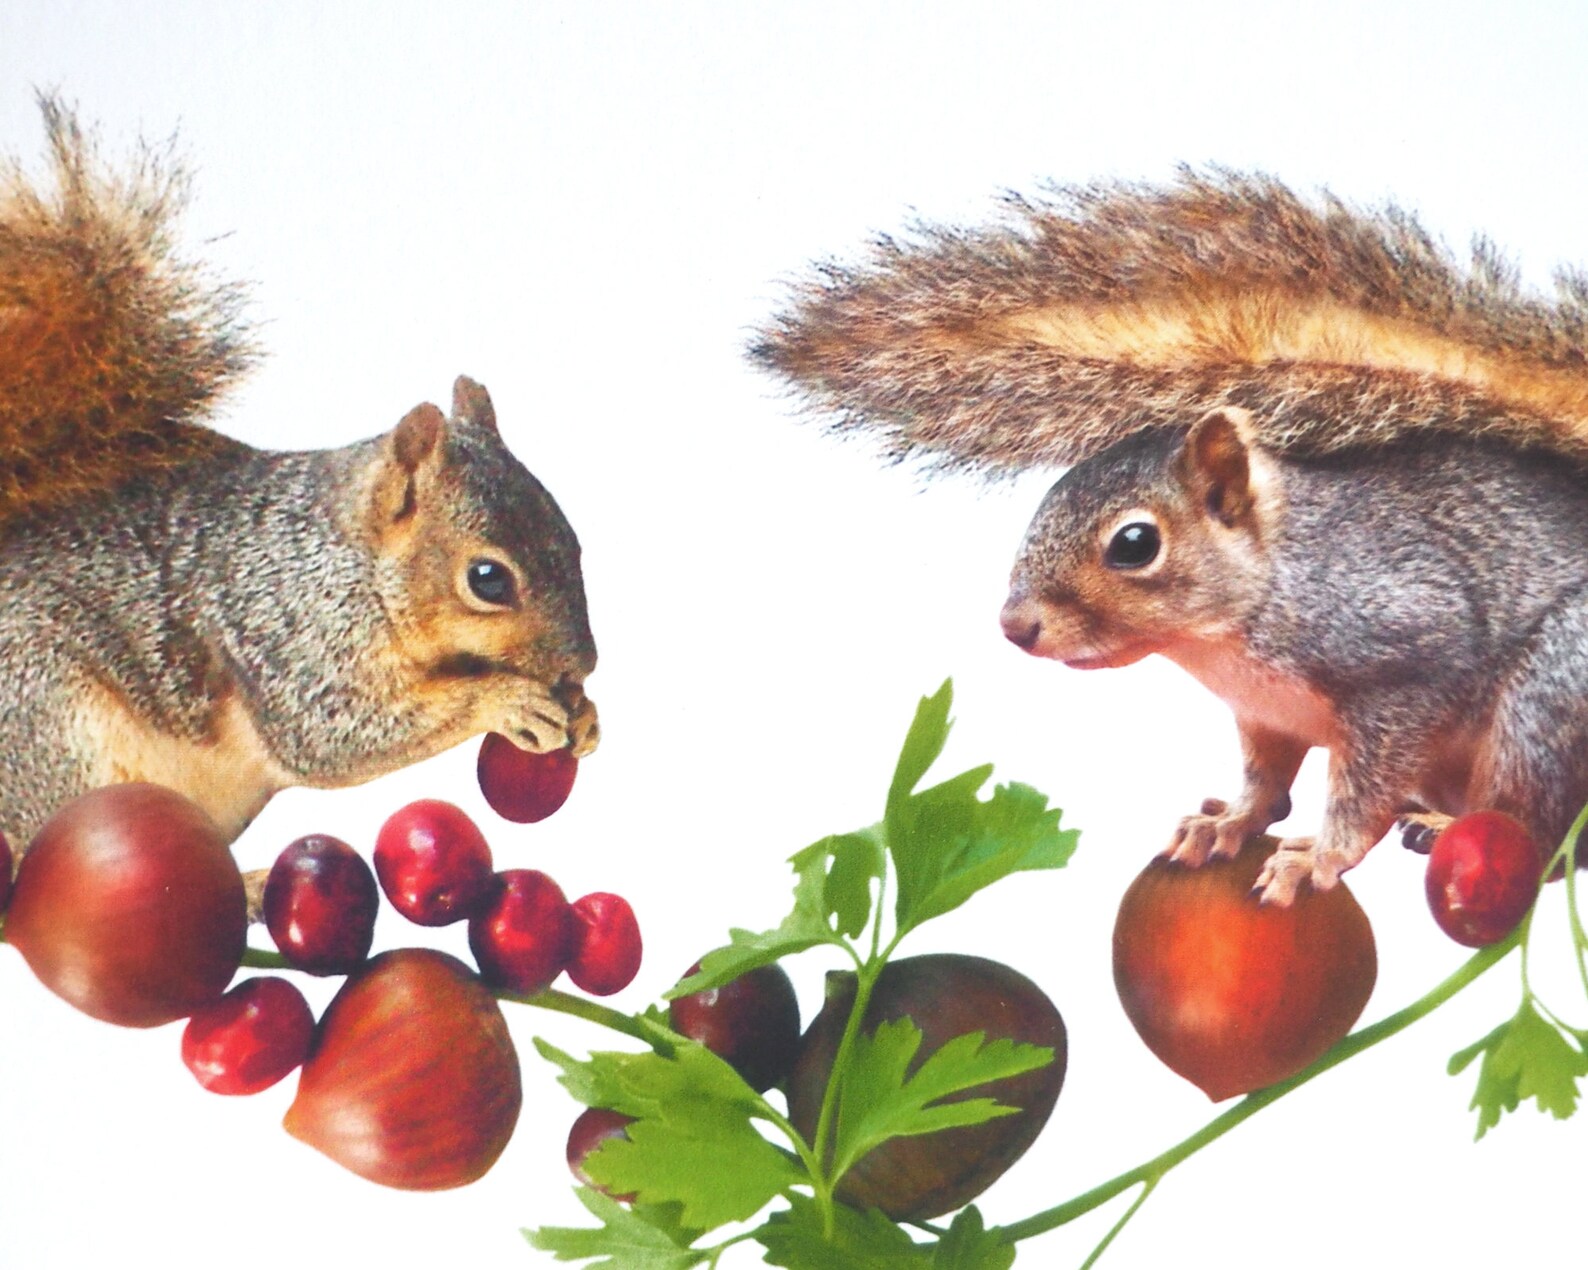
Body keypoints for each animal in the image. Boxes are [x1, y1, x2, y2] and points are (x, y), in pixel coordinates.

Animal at [0, 97, 598, 853]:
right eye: (487, 579)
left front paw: (588, 715)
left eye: (573, 540)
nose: (583, 665)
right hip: (51, 725)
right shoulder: (290, 640)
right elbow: (335, 733)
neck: (351, 564)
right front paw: (508, 699)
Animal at [753, 168, 1588, 904]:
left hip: (1550, 698)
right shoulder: (1264, 715)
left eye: (1134, 544)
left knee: (1543, 828)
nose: (1014, 625)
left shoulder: (1403, 660)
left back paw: (1452, 826)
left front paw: (1317, 857)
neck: (1232, 628)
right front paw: (1228, 824)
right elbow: (1265, 782)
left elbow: (1363, 792)